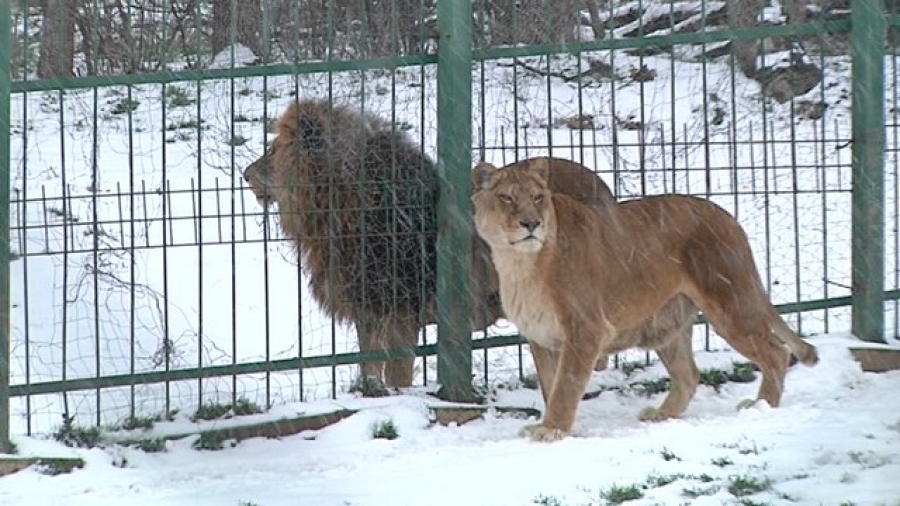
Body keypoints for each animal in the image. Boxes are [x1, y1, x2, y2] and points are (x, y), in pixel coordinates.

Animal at [246, 99, 704, 392]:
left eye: (273, 150)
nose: (245, 174)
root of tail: (604, 187)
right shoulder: (368, 312)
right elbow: (370, 371)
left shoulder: (399, 313)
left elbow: (398, 375)